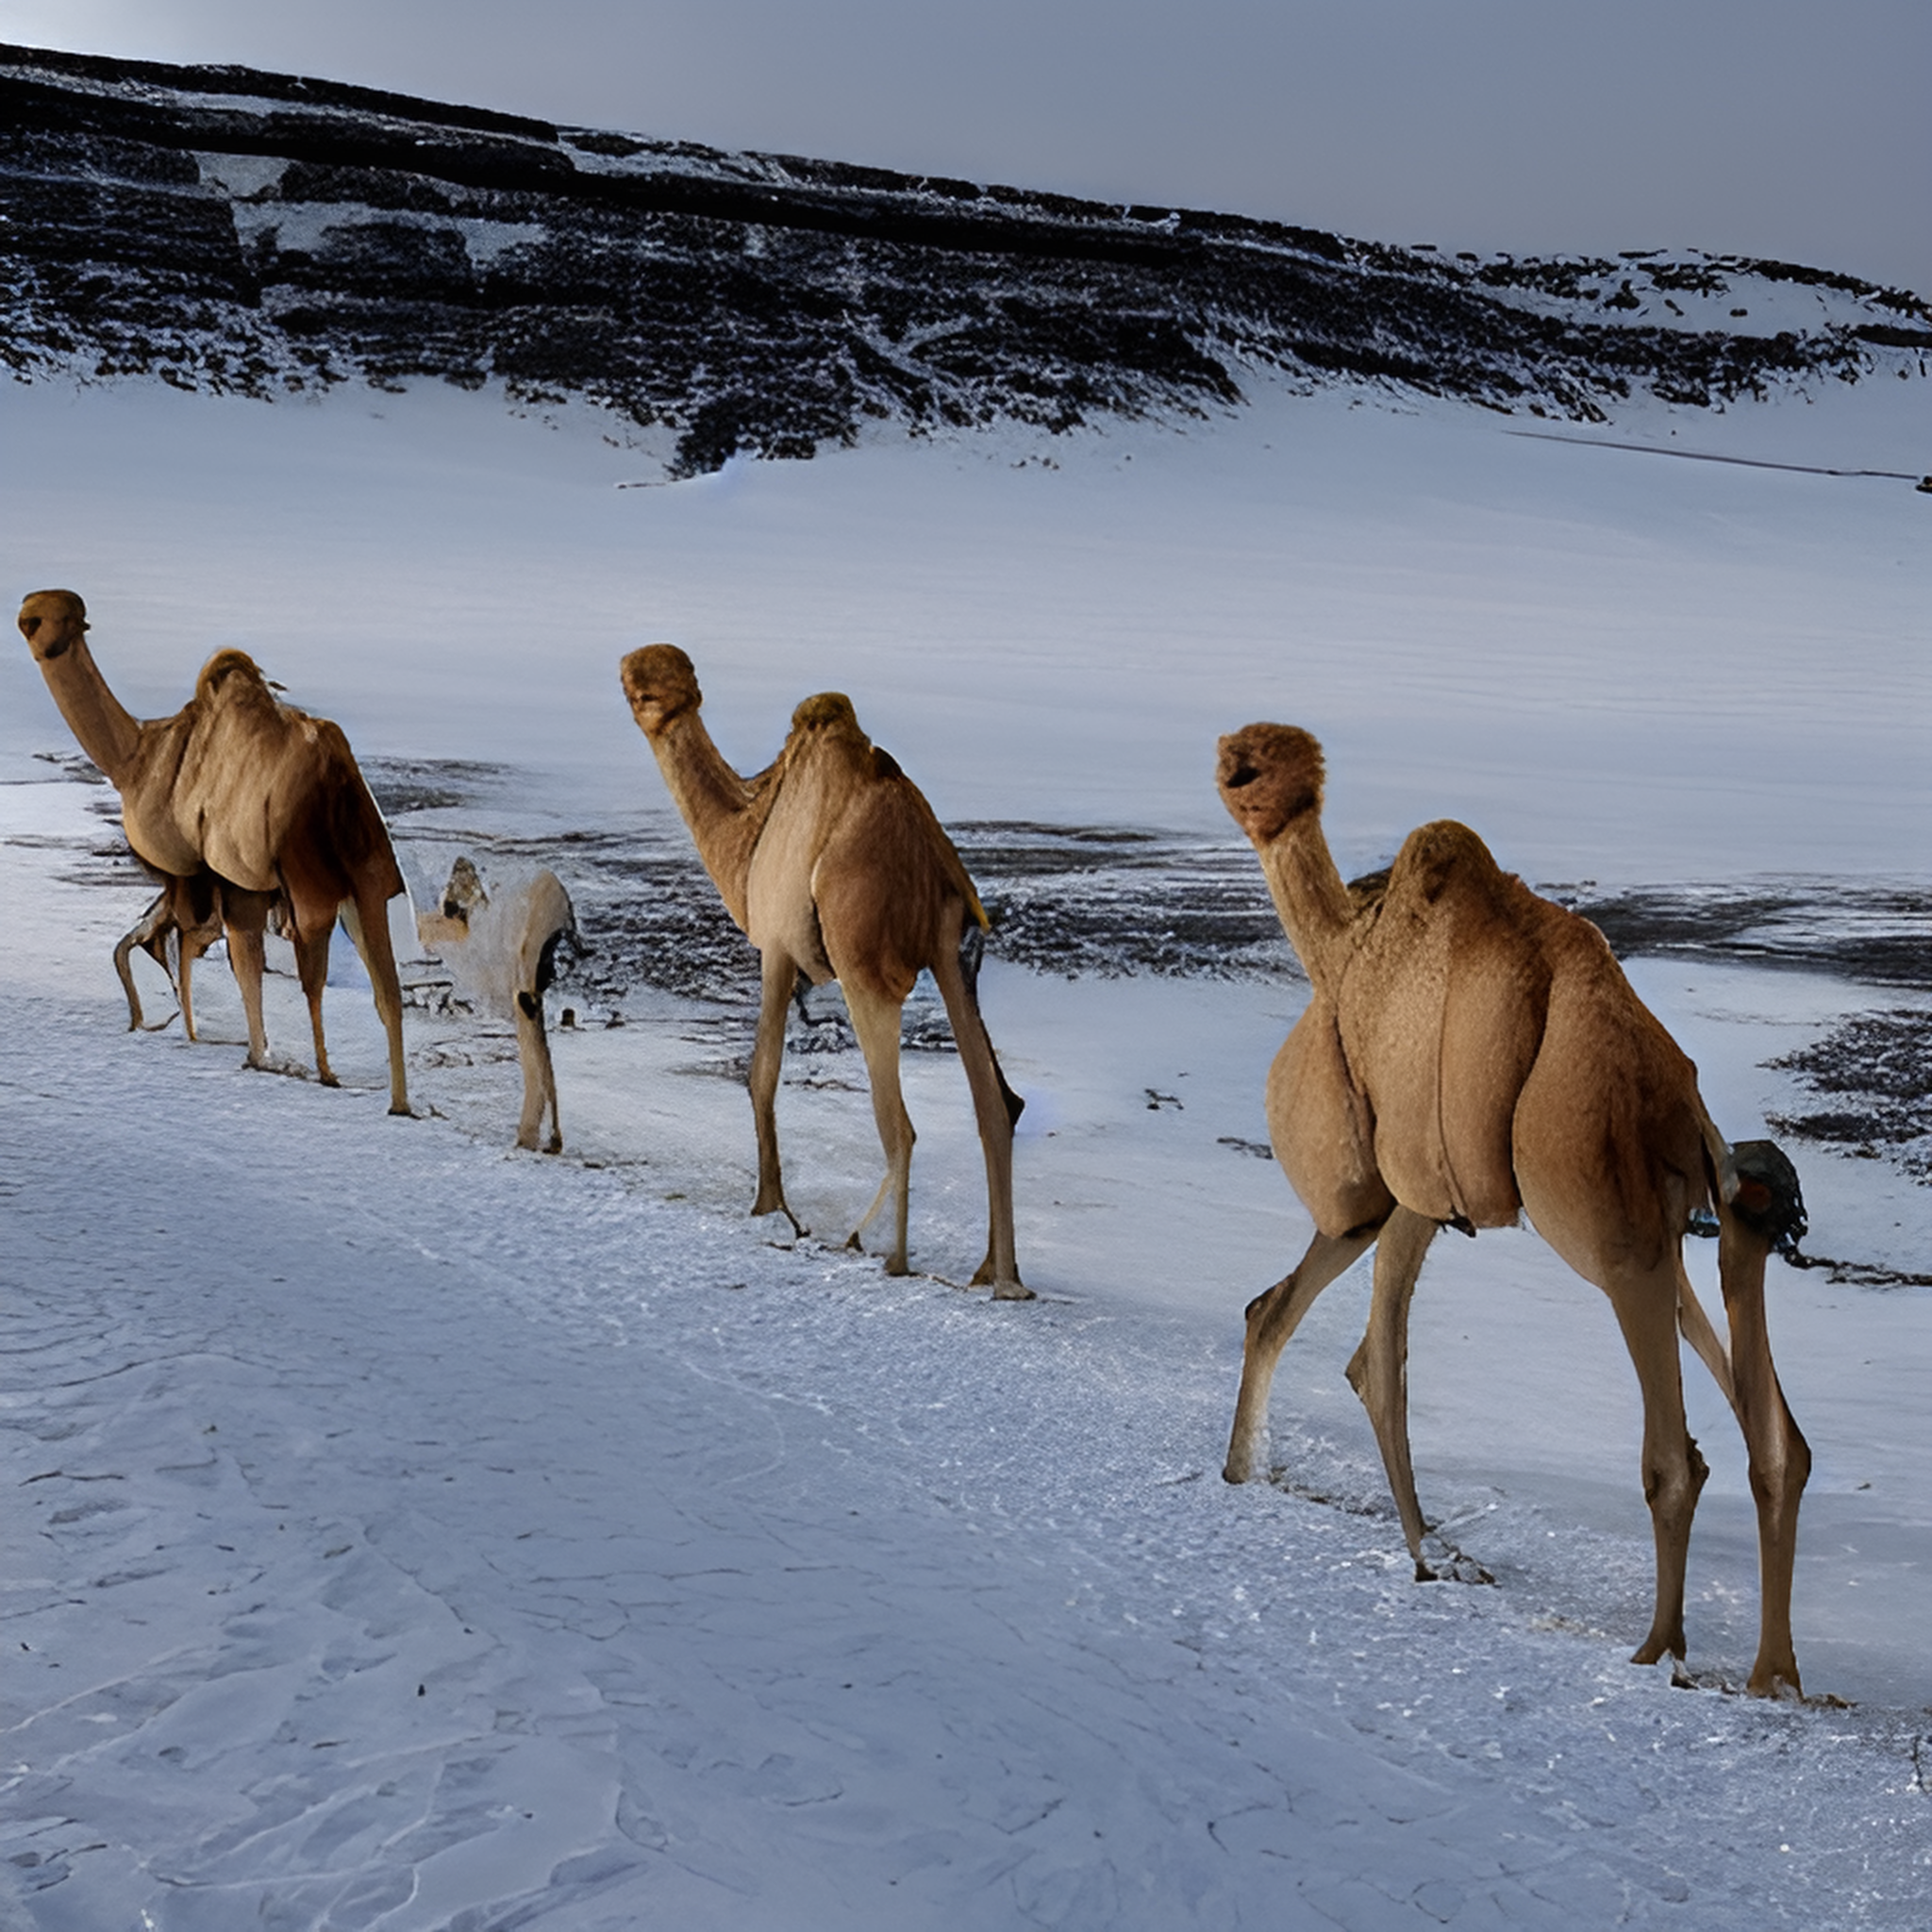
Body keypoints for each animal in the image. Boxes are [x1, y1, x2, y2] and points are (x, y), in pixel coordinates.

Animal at [17, 587, 411, 1112]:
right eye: (38, 618)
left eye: (57, 618)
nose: (44, 639)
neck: (136, 760)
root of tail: (339, 778)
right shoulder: (219, 880)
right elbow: (169, 947)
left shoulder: (211, 872)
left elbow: (211, 958)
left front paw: (246, 1052)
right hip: (368, 872)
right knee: (385, 989)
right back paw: (398, 1102)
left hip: (309, 874)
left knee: (316, 975)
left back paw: (331, 1074)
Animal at [622, 645, 1027, 1298]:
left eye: (647, 691)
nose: (645, 692)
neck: (748, 839)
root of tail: (932, 862)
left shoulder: (777, 947)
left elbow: (761, 1074)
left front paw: (771, 1208)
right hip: (951, 951)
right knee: (997, 1102)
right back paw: (1000, 1273)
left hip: (865, 962)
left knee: (898, 1124)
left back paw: (888, 1254)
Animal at [1213, 722, 1816, 1692]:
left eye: (1254, 766)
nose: (1231, 761)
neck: (1344, 950)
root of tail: (1673, 1099)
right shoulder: (1411, 1199)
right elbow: (1358, 1351)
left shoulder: (1399, 1185)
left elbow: (1376, 1360)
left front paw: (1426, 1555)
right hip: (1658, 1213)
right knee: (1766, 1403)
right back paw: (1772, 1672)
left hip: (1601, 1218)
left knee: (1673, 1453)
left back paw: (1660, 1647)